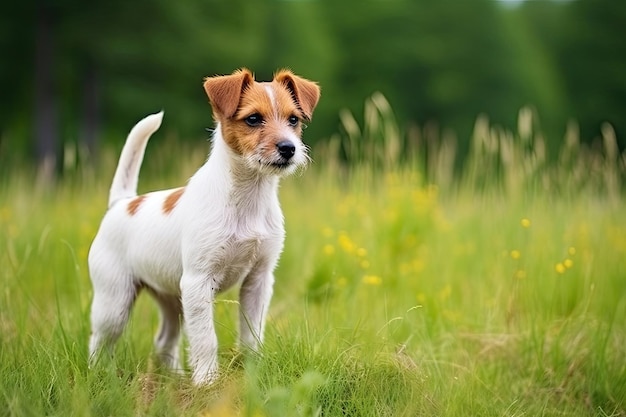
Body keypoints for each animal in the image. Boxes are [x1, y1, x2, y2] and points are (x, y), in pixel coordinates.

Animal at [88, 68, 320, 384]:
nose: (288, 148)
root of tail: (122, 202)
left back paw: (176, 378)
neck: (248, 197)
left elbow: (252, 333)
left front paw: (252, 369)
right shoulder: (198, 282)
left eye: (293, 120)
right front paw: (207, 382)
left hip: (173, 299)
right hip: (115, 301)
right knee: (99, 339)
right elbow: (205, 339)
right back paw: (98, 374)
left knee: (164, 340)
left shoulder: (258, 280)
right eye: (253, 119)